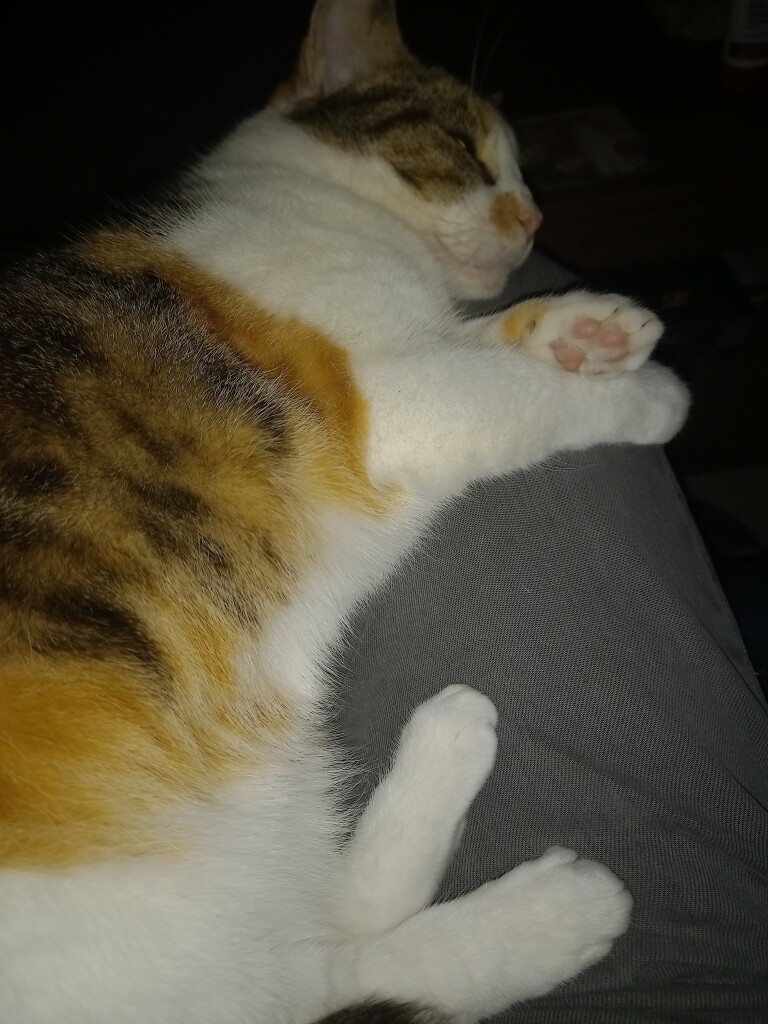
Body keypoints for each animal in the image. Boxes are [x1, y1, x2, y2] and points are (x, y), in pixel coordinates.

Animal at [0, 2, 688, 1024]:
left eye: (525, 177)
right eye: (464, 148)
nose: (534, 219)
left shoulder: (424, 350)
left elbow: (490, 338)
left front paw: (587, 329)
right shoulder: (390, 396)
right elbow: (522, 393)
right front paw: (645, 394)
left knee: (321, 936)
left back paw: (450, 746)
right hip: (127, 910)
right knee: (310, 985)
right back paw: (554, 912)